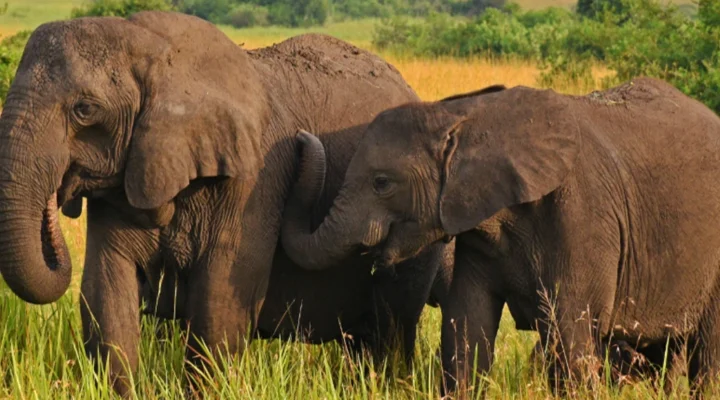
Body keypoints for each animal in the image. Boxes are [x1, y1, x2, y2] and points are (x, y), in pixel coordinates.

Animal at [0, 11, 453, 395]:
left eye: (84, 109)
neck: (153, 49)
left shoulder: (255, 177)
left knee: (390, 329)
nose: (58, 199)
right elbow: (106, 294)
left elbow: (220, 307)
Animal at [280, 77, 720, 397]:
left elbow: (571, 332)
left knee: (708, 352)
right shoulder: (478, 225)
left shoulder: (587, 216)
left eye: (382, 183)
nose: (300, 137)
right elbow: (466, 326)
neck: (466, 117)